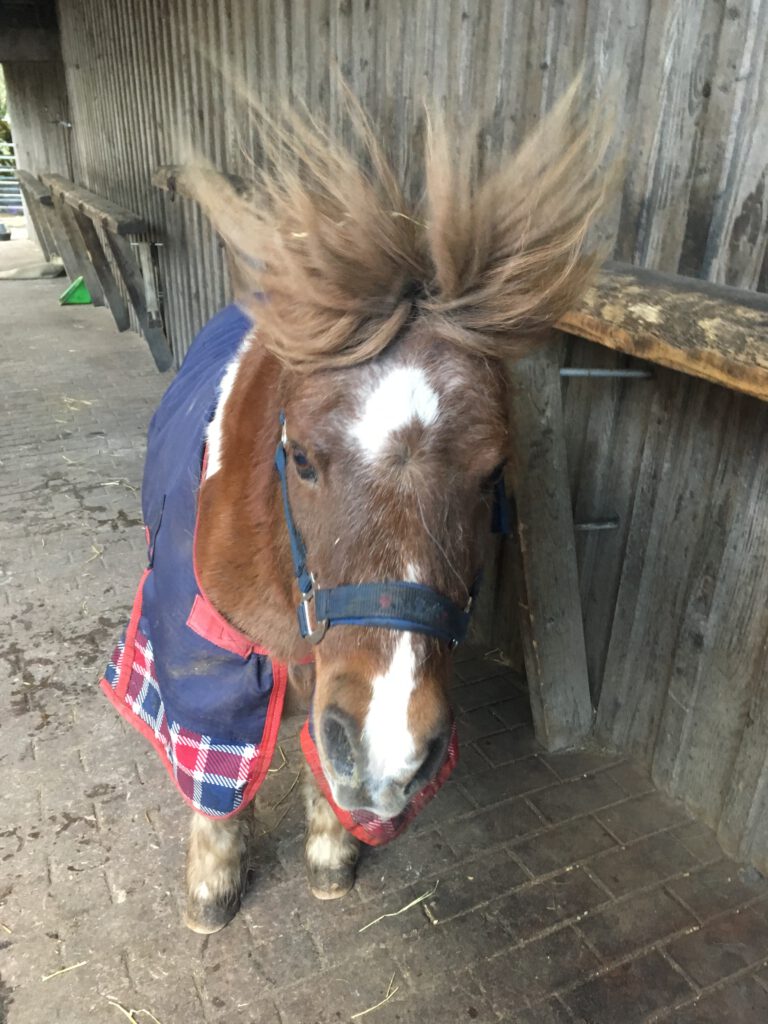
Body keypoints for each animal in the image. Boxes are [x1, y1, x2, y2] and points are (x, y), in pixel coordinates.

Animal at [102, 79, 610, 933]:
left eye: (492, 474)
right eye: (303, 457)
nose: (390, 753)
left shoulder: (329, 680)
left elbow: (320, 757)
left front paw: (333, 852)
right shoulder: (204, 647)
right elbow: (216, 769)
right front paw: (212, 887)